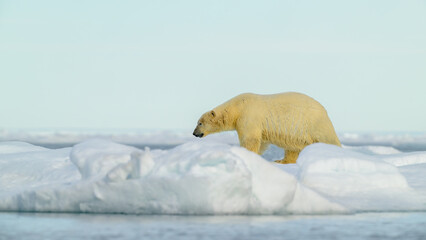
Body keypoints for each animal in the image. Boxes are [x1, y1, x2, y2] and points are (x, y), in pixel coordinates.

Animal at [191, 93, 342, 164]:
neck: (237, 108)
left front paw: (245, 153)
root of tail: (324, 111)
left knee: (328, 139)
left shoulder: (248, 117)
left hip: (313, 124)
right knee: (292, 147)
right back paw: (281, 160)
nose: (194, 133)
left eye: (200, 123)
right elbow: (261, 142)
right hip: (297, 132)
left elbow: (250, 139)